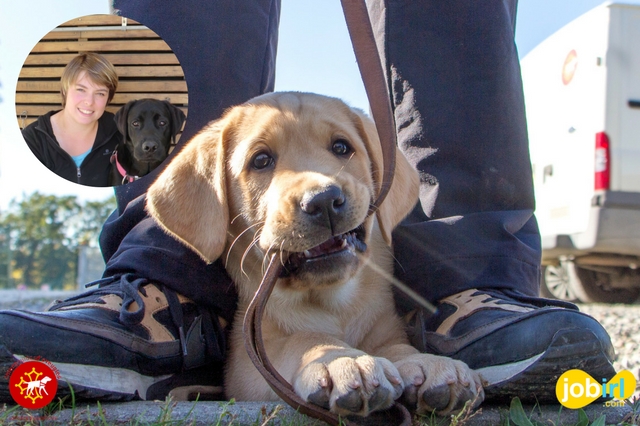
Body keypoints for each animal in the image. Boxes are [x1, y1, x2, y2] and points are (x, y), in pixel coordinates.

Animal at [146, 90, 484, 416]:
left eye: (341, 147)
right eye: (261, 160)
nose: (323, 200)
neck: (332, 302)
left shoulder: (385, 326)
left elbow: (396, 347)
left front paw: (426, 362)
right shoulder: (245, 364)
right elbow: (301, 339)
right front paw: (340, 358)